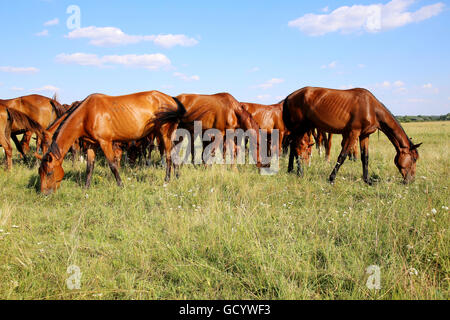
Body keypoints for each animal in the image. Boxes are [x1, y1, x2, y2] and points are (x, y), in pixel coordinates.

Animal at [38, 90, 183, 195]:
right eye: (40, 172)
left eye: (49, 173)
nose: (44, 194)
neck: (87, 113)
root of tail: (171, 99)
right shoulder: (91, 144)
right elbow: (89, 167)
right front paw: (86, 188)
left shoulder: (105, 142)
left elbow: (113, 165)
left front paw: (121, 185)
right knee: (174, 154)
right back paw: (176, 176)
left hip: (164, 133)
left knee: (169, 156)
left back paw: (167, 180)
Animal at [284, 86, 420, 185]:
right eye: (414, 159)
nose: (410, 180)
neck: (371, 108)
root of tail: (289, 97)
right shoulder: (353, 133)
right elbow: (342, 156)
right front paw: (331, 179)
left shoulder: (364, 135)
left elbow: (365, 157)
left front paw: (367, 180)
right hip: (300, 127)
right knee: (296, 147)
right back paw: (299, 172)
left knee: (293, 147)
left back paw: (291, 170)